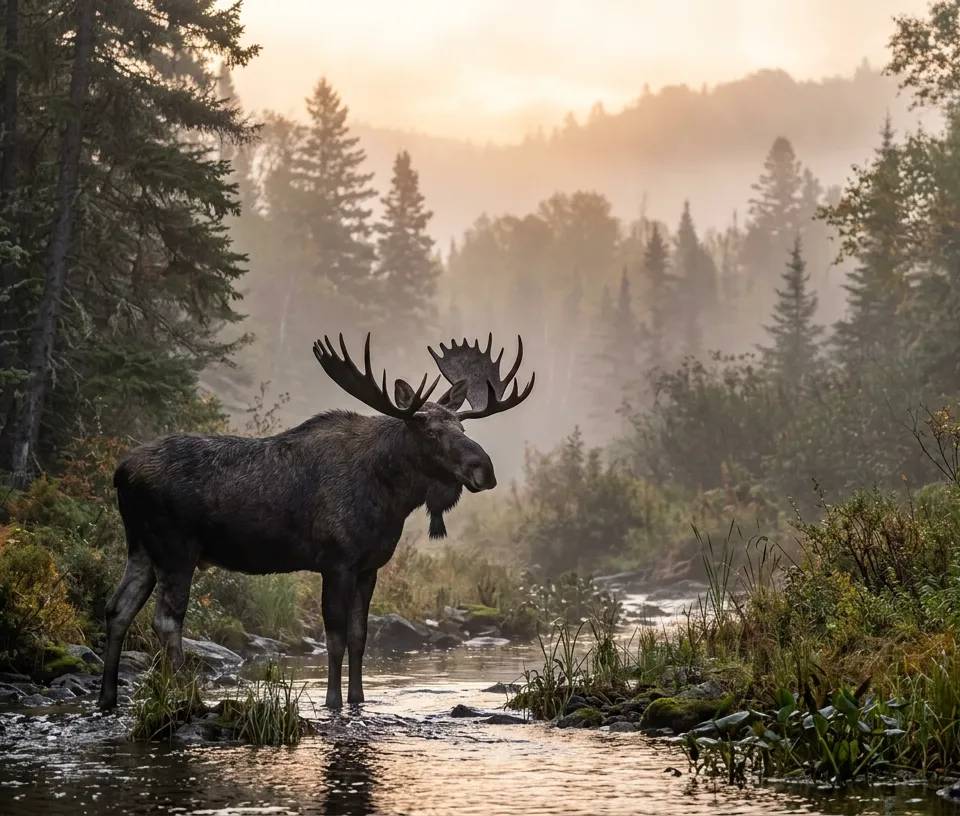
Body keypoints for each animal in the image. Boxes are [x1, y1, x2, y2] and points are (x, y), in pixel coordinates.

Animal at [97, 333, 534, 710]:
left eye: (462, 425)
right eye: (428, 431)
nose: (484, 469)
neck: (391, 497)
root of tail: (121, 473)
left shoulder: (369, 567)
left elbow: (360, 637)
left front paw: (358, 699)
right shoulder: (336, 561)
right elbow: (335, 637)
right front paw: (333, 702)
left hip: (141, 548)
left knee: (118, 608)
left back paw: (108, 697)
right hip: (176, 549)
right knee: (166, 620)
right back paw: (186, 697)